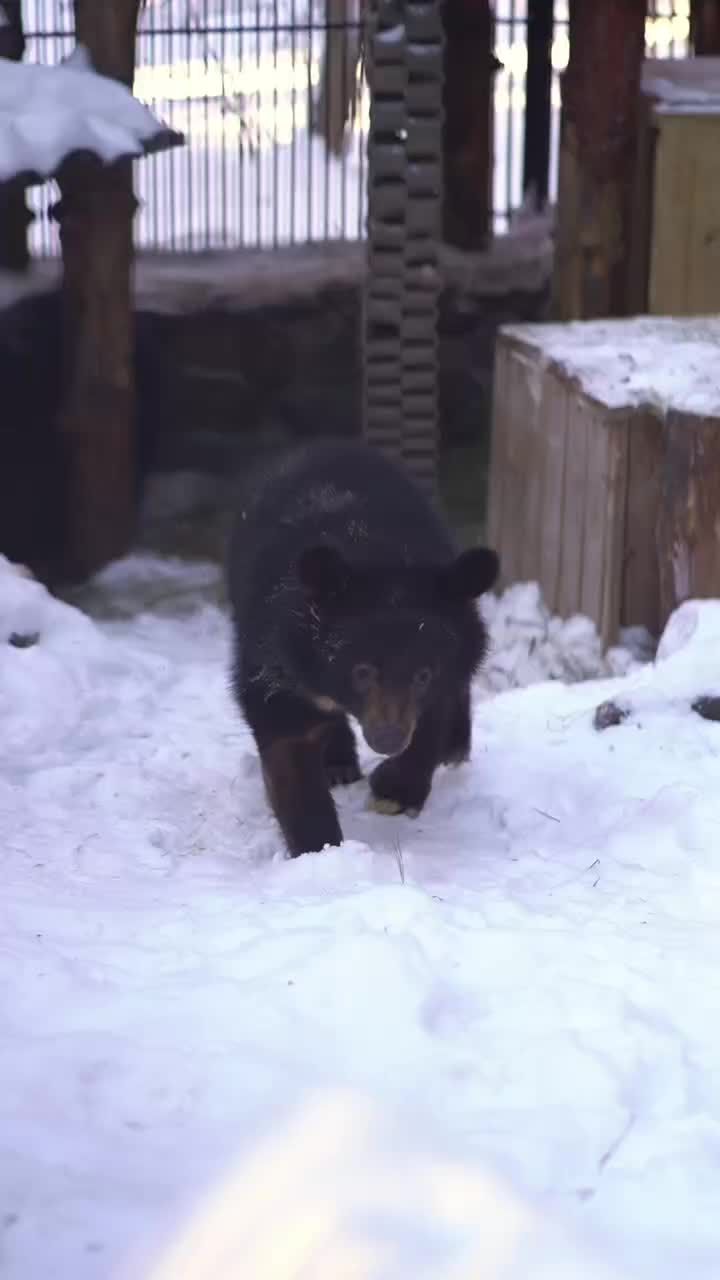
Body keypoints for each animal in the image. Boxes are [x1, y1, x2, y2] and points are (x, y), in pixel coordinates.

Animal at [226, 442, 497, 860]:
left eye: (424, 674)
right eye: (362, 671)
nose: (387, 739)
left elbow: (432, 717)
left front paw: (394, 792)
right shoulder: (273, 655)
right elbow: (287, 747)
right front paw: (319, 848)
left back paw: (453, 750)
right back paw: (338, 766)